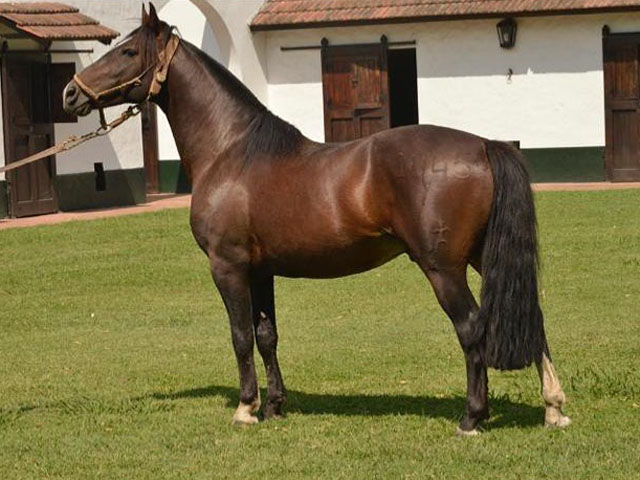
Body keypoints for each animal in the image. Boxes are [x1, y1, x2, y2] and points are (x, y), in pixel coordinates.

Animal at [63, 4, 570, 435]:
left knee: (471, 328)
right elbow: (266, 335)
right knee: (533, 318)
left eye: (128, 52)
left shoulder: (228, 266)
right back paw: (553, 408)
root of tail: (484, 144)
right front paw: (273, 405)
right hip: (485, 256)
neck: (232, 151)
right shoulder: (260, 269)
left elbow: (240, 336)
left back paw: (472, 417)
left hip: (443, 268)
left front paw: (246, 408)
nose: (71, 93)